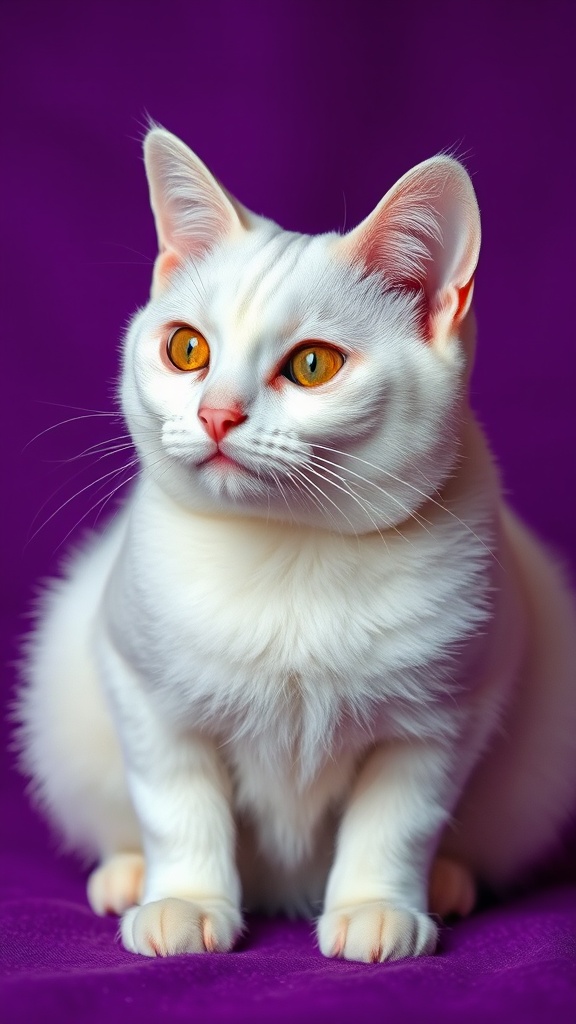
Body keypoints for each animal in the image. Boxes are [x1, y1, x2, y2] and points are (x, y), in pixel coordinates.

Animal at [16, 125, 573, 958]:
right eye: (186, 350)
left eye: (313, 364)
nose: (215, 414)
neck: (291, 550)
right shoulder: (145, 692)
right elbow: (176, 805)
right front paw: (183, 899)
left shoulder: (445, 718)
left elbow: (398, 822)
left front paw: (375, 905)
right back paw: (125, 876)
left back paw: (449, 882)